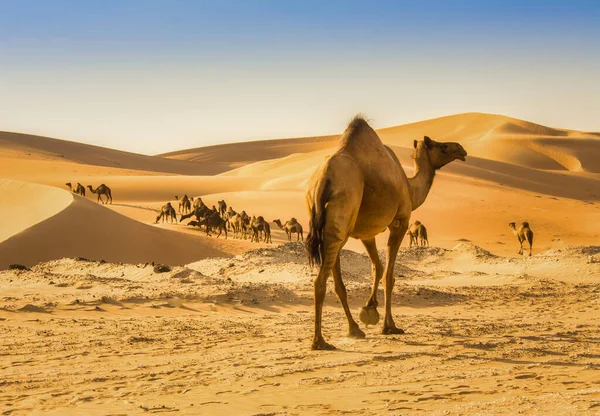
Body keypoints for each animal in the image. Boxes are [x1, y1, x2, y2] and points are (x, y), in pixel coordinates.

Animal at [304, 115, 468, 350]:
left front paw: (369, 310)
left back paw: (354, 329)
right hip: (342, 215)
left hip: (331, 226)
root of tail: (323, 181)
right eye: (442, 146)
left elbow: (377, 268)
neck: (410, 187)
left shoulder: (366, 233)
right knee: (320, 281)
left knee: (336, 281)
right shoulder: (401, 221)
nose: (461, 149)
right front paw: (389, 326)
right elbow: (389, 275)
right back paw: (320, 341)